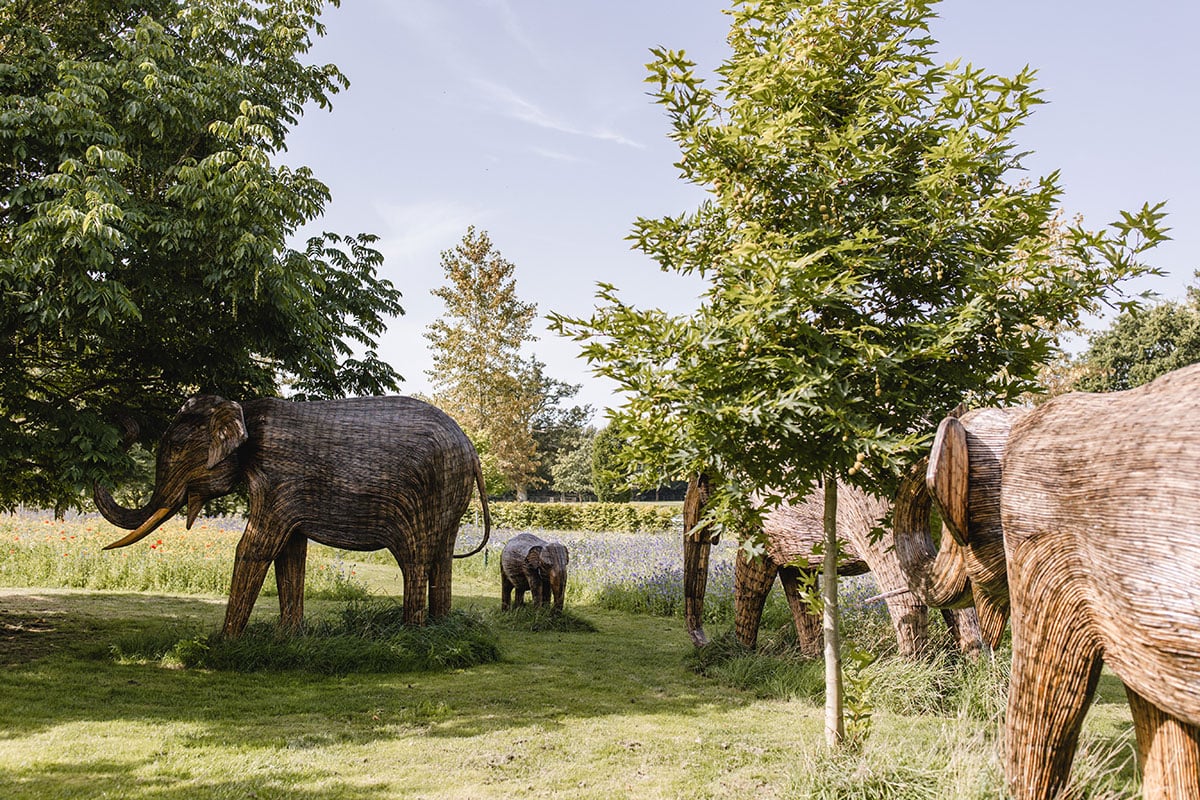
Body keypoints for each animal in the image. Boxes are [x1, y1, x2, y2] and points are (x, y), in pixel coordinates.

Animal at [94, 395, 491, 638]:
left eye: (176, 447)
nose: (123, 422)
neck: (243, 409)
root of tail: (472, 451)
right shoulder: (289, 493)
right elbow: (290, 554)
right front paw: (288, 638)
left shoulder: (276, 479)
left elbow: (256, 547)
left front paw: (225, 642)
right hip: (449, 495)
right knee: (441, 559)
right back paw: (437, 628)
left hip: (423, 497)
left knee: (414, 561)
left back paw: (410, 635)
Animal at [684, 474, 982, 658]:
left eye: (698, 482)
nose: (705, 642)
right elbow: (796, 583)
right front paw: (812, 658)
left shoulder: (757, 519)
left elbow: (752, 574)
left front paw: (742, 651)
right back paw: (972, 663)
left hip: (879, 512)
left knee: (906, 588)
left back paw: (912, 665)